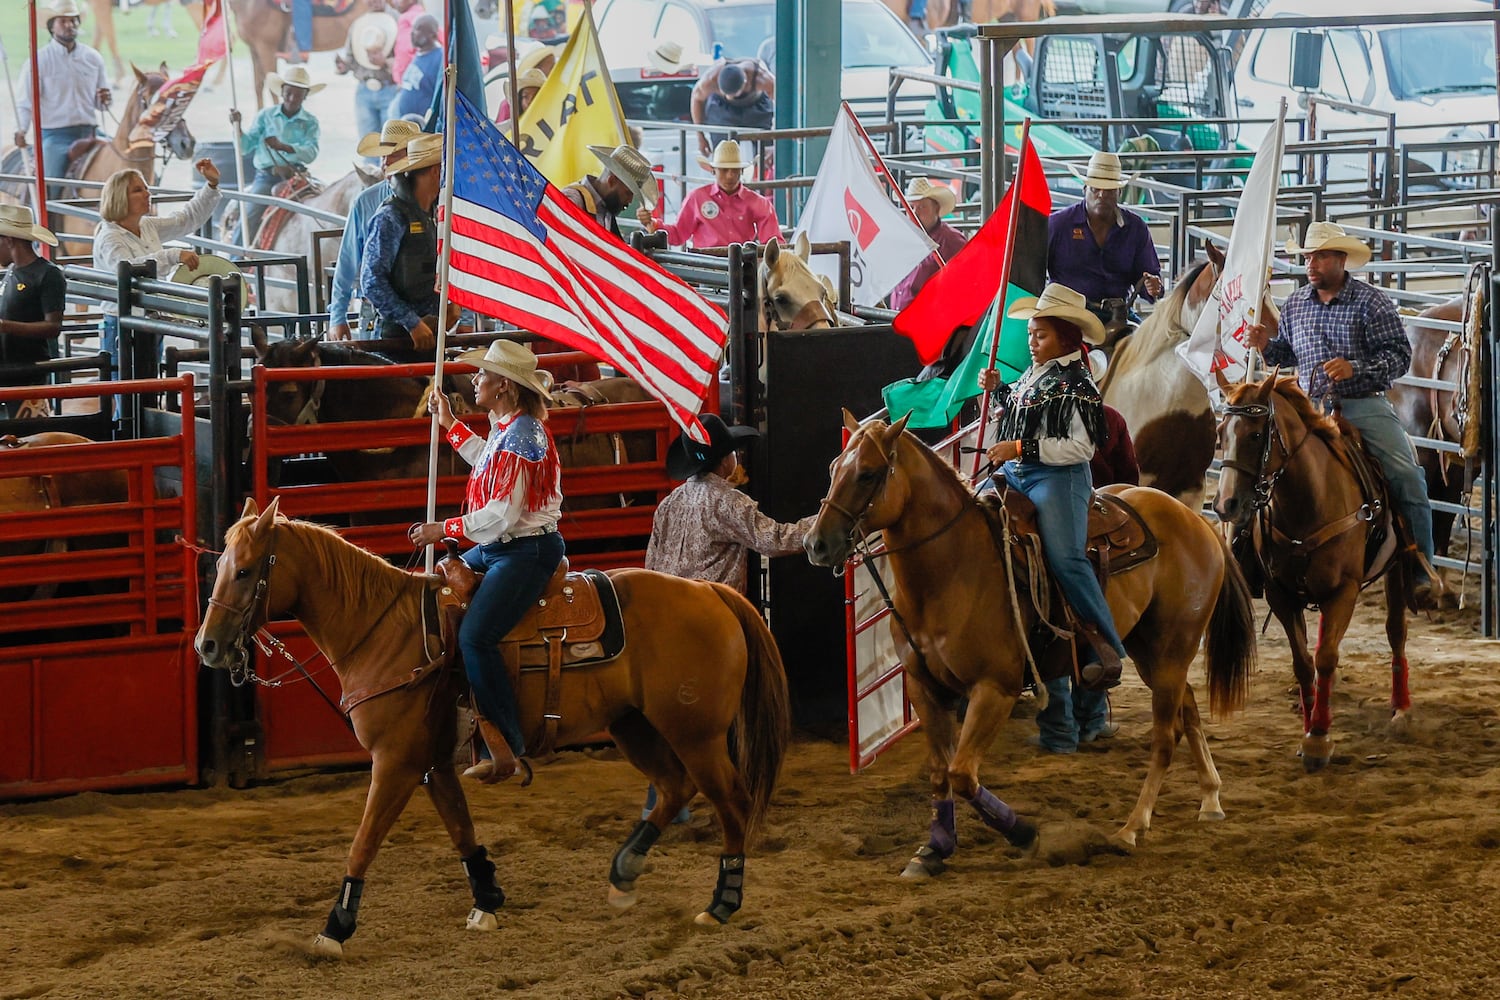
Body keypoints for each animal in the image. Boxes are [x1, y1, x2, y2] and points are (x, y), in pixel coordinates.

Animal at [196, 497, 798, 953]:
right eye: (220, 565)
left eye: (246, 570)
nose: (207, 647)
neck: (385, 631)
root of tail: (711, 593)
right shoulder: (432, 764)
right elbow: (461, 830)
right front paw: (486, 901)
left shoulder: (395, 762)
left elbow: (364, 842)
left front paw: (334, 929)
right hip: (635, 725)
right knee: (675, 788)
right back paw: (624, 875)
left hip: (695, 733)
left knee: (731, 801)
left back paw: (721, 904)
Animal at [810, 410, 1254, 863]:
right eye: (832, 468)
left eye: (867, 473)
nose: (817, 543)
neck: (952, 570)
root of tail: (1195, 519)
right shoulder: (925, 687)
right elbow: (939, 774)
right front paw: (936, 846)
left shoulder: (995, 688)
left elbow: (962, 773)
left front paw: (1024, 833)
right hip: (1152, 651)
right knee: (1190, 710)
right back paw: (1210, 798)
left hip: (1171, 650)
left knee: (1165, 737)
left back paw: (1132, 827)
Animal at [1212, 374, 1410, 773]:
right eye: (1220, 432)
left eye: (1256, 435)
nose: (1225, 505)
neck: (1309, 502)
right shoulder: (1281, 595)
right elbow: (1304, 662)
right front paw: (1309, 728)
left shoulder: (1344, 591)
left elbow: (1326, 658)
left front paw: (1319, 738)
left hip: (1396, 568)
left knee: (1396, 631)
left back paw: (1401, 710)